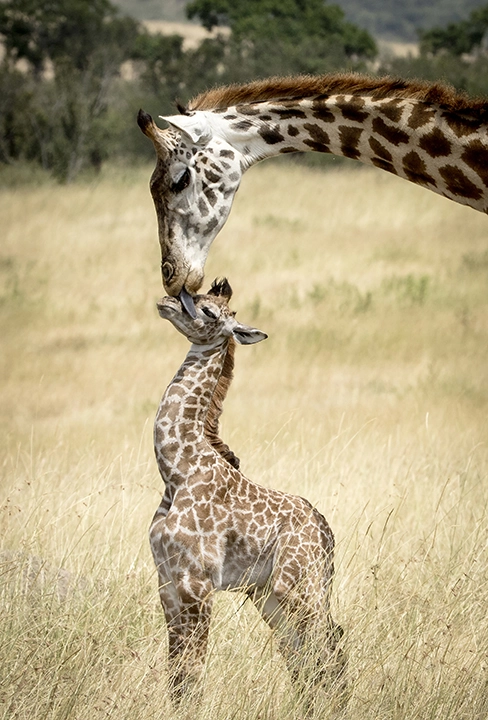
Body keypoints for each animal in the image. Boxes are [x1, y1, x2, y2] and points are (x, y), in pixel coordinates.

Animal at [150, 278, 344, 703]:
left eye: (208, 310)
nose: (165, 301)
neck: (177, 469)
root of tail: (327, 535)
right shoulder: (167, 581)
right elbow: (175, 674)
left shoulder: (198, 582)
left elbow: (193, 669)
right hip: (268, 594)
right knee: (303, 656)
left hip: (296, 585)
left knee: (328, 646)